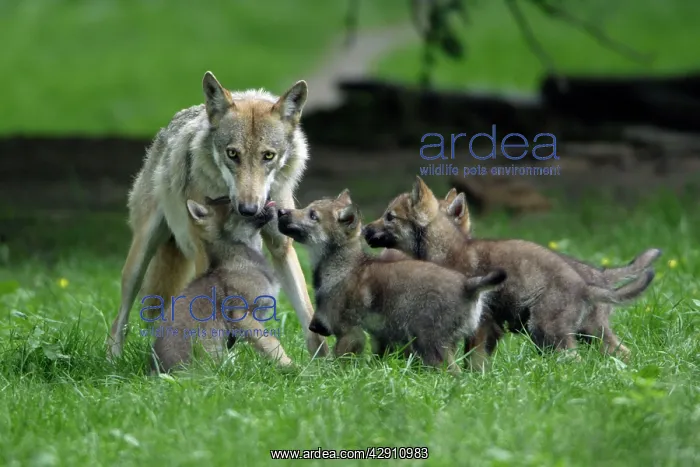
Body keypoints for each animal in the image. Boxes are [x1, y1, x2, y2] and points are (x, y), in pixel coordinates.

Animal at [151, 198, 292, 373]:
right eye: (234, 208)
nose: (268, 198)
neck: (240, 260)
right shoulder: (242, 315)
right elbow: (271, 342)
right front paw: (290, 365)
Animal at [276, 189, 507, 373]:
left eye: (313, 215)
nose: (280, 211)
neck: (342, 267)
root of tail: (469, 286)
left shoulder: (350, 334)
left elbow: (338, 363)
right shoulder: (375, 337)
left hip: (431, 344)